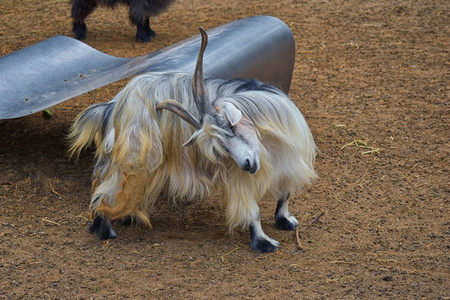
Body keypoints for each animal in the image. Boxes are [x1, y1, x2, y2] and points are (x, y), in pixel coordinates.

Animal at [68, 28, 318, 253]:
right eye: (222, 148)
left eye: (230, 126)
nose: (247, 164)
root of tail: (114, 105)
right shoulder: (239, 178)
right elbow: (252, 209)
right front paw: (264, 243)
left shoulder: (287, 161)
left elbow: (285, 193)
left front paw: (285, 220)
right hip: (133, 155)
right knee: (105, 186)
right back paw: (106, 230)